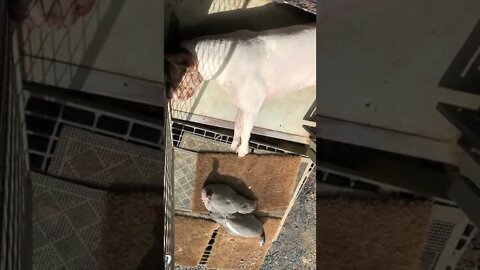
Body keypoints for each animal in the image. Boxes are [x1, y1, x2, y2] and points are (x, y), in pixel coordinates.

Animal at [167, 24, 316, 158]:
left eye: (174, 77)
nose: (169, 95)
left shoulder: (253, 102)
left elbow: (246, 130)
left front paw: (242, 153)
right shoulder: (240, 102)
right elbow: (237, 124)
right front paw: (232, 147)